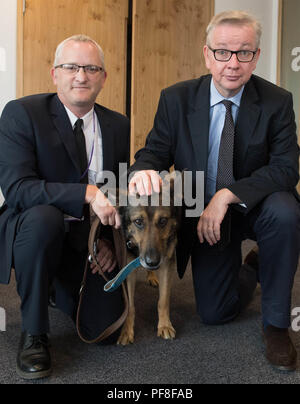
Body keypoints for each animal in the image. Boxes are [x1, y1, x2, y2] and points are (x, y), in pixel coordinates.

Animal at [116, 178, 182, 346]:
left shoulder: (167, 265)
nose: (152, 262)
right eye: (138, 221)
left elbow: (163, 300)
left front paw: (164, 325)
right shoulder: (128, 269)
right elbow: (130, 305)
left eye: (163, 221)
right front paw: (126, 330)